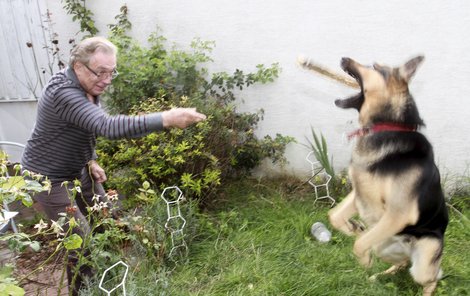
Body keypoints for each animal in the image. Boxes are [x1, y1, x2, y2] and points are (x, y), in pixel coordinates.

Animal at [328, 56, 450, 296]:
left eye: (374, 67)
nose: (343, 58)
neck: (388, 126)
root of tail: (408, 246)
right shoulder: (360, 193)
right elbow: (334, 216)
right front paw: (352, 229)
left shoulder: (398, 213)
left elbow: (359, 245)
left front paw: (364, 261)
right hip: (384, 247)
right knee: (401, 262)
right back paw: (379, 275)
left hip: (422, 264)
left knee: (432, 279)